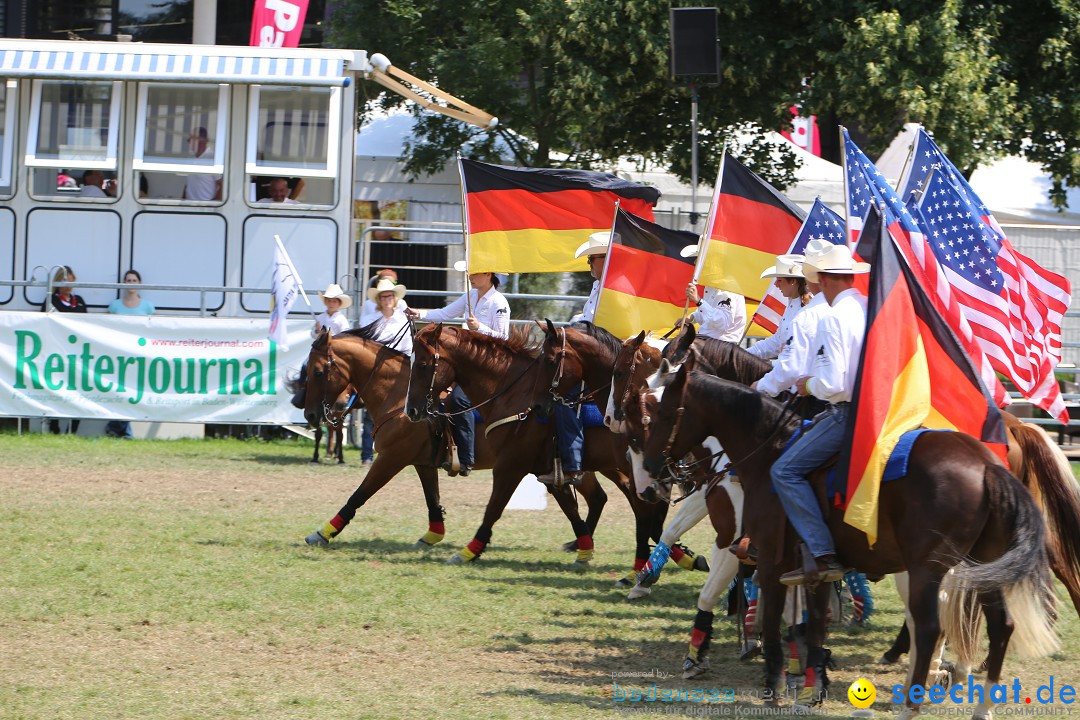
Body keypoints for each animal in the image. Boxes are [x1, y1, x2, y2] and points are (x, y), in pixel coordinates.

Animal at [295, 323, 613, 561]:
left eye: (318, 372)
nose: (309, 413)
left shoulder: (391, 458)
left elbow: (359, 495)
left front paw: (322, 533)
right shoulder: (422, 462)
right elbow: (432, 498)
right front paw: (432, 535)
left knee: (597, 497)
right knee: (597, 498)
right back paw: (579, 545)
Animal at [406, 325, 652, 569]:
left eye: (422, 365)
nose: (411, 410)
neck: (512, 395)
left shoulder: (510, 466)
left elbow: (493, 508)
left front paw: (469, 551)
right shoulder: (548, 472)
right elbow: (570, 509)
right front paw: (584, 551)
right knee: (607, 497)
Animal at [639, 358, 1054, 716]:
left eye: (661, 413)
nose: (651, 471)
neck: (767, 453)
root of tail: (986, 465)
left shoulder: (768, 559)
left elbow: (771, 622)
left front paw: (773, 684)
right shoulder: (815, 570)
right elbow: (813, 627)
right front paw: (813, 687)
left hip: (927, 570)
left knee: (930, 628)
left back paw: (913, 700)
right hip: (983, 567)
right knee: (999, 628)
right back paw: (978, 705)